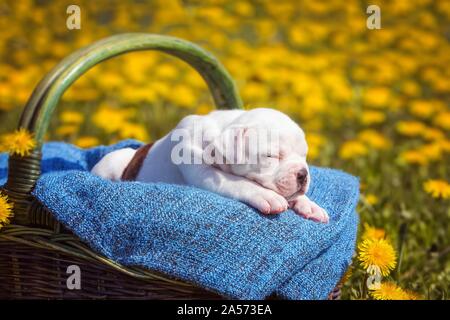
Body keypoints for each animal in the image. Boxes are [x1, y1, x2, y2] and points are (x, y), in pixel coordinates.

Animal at [91, 107, 328, 222]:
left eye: (304, 156)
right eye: (271, 156)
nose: (303, 174)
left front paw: (309, 204)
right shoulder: (202, 173)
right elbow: (237, 182)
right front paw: (266, 195)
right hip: (112, 161)